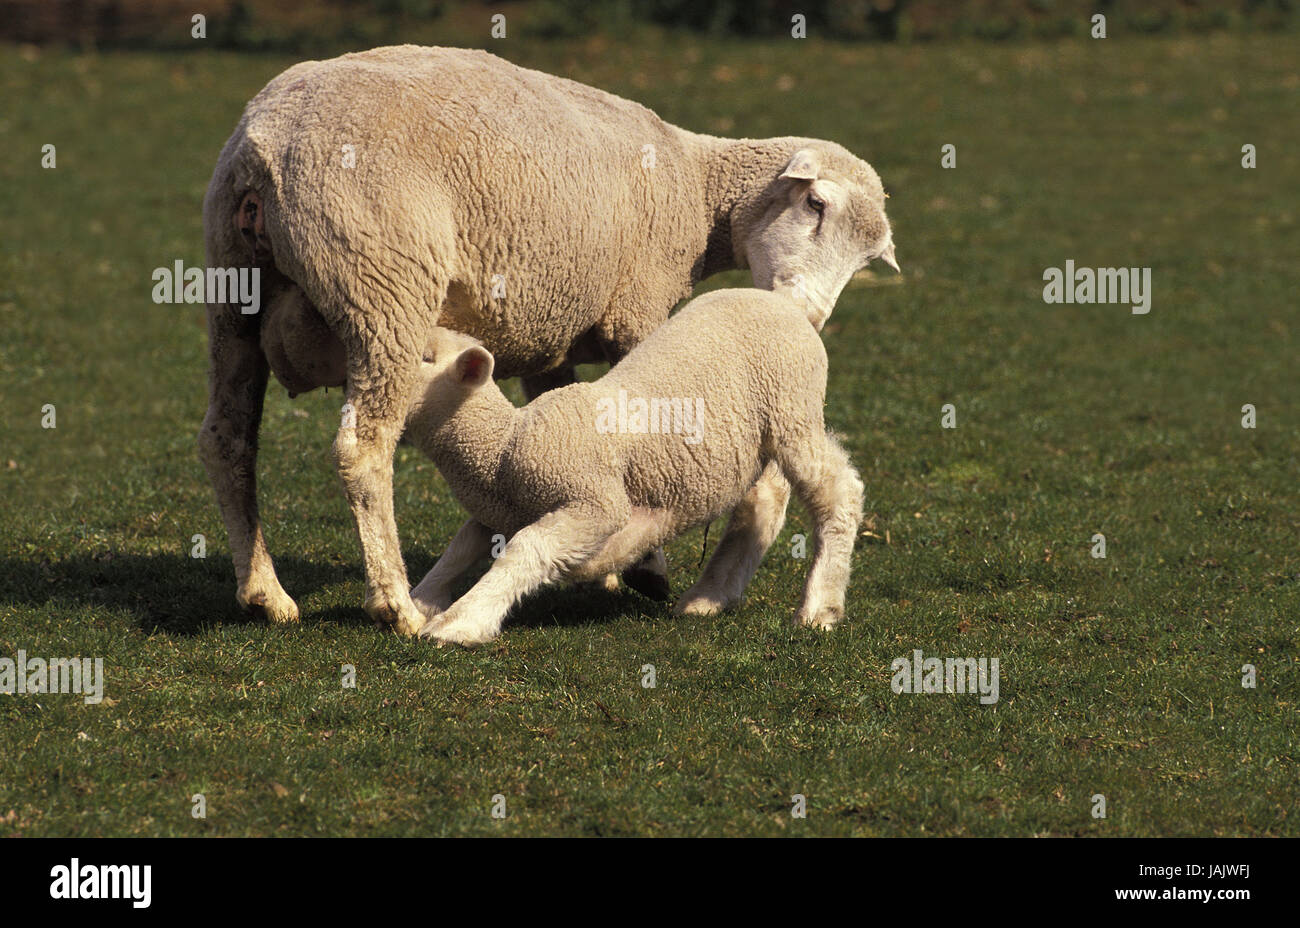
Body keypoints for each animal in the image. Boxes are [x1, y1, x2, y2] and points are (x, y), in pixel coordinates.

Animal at [403, 287, 863, 644]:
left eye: (425, 357)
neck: (502, 446)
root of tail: (781, 301)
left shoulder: (594, 502)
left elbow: (525, 549)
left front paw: (462, 621)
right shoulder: (496, 512)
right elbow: (459, 550)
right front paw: (419, 602)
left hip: (793, 412)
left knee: (838, 492)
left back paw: (819, 606)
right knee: (761, 507)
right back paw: (709, 596)